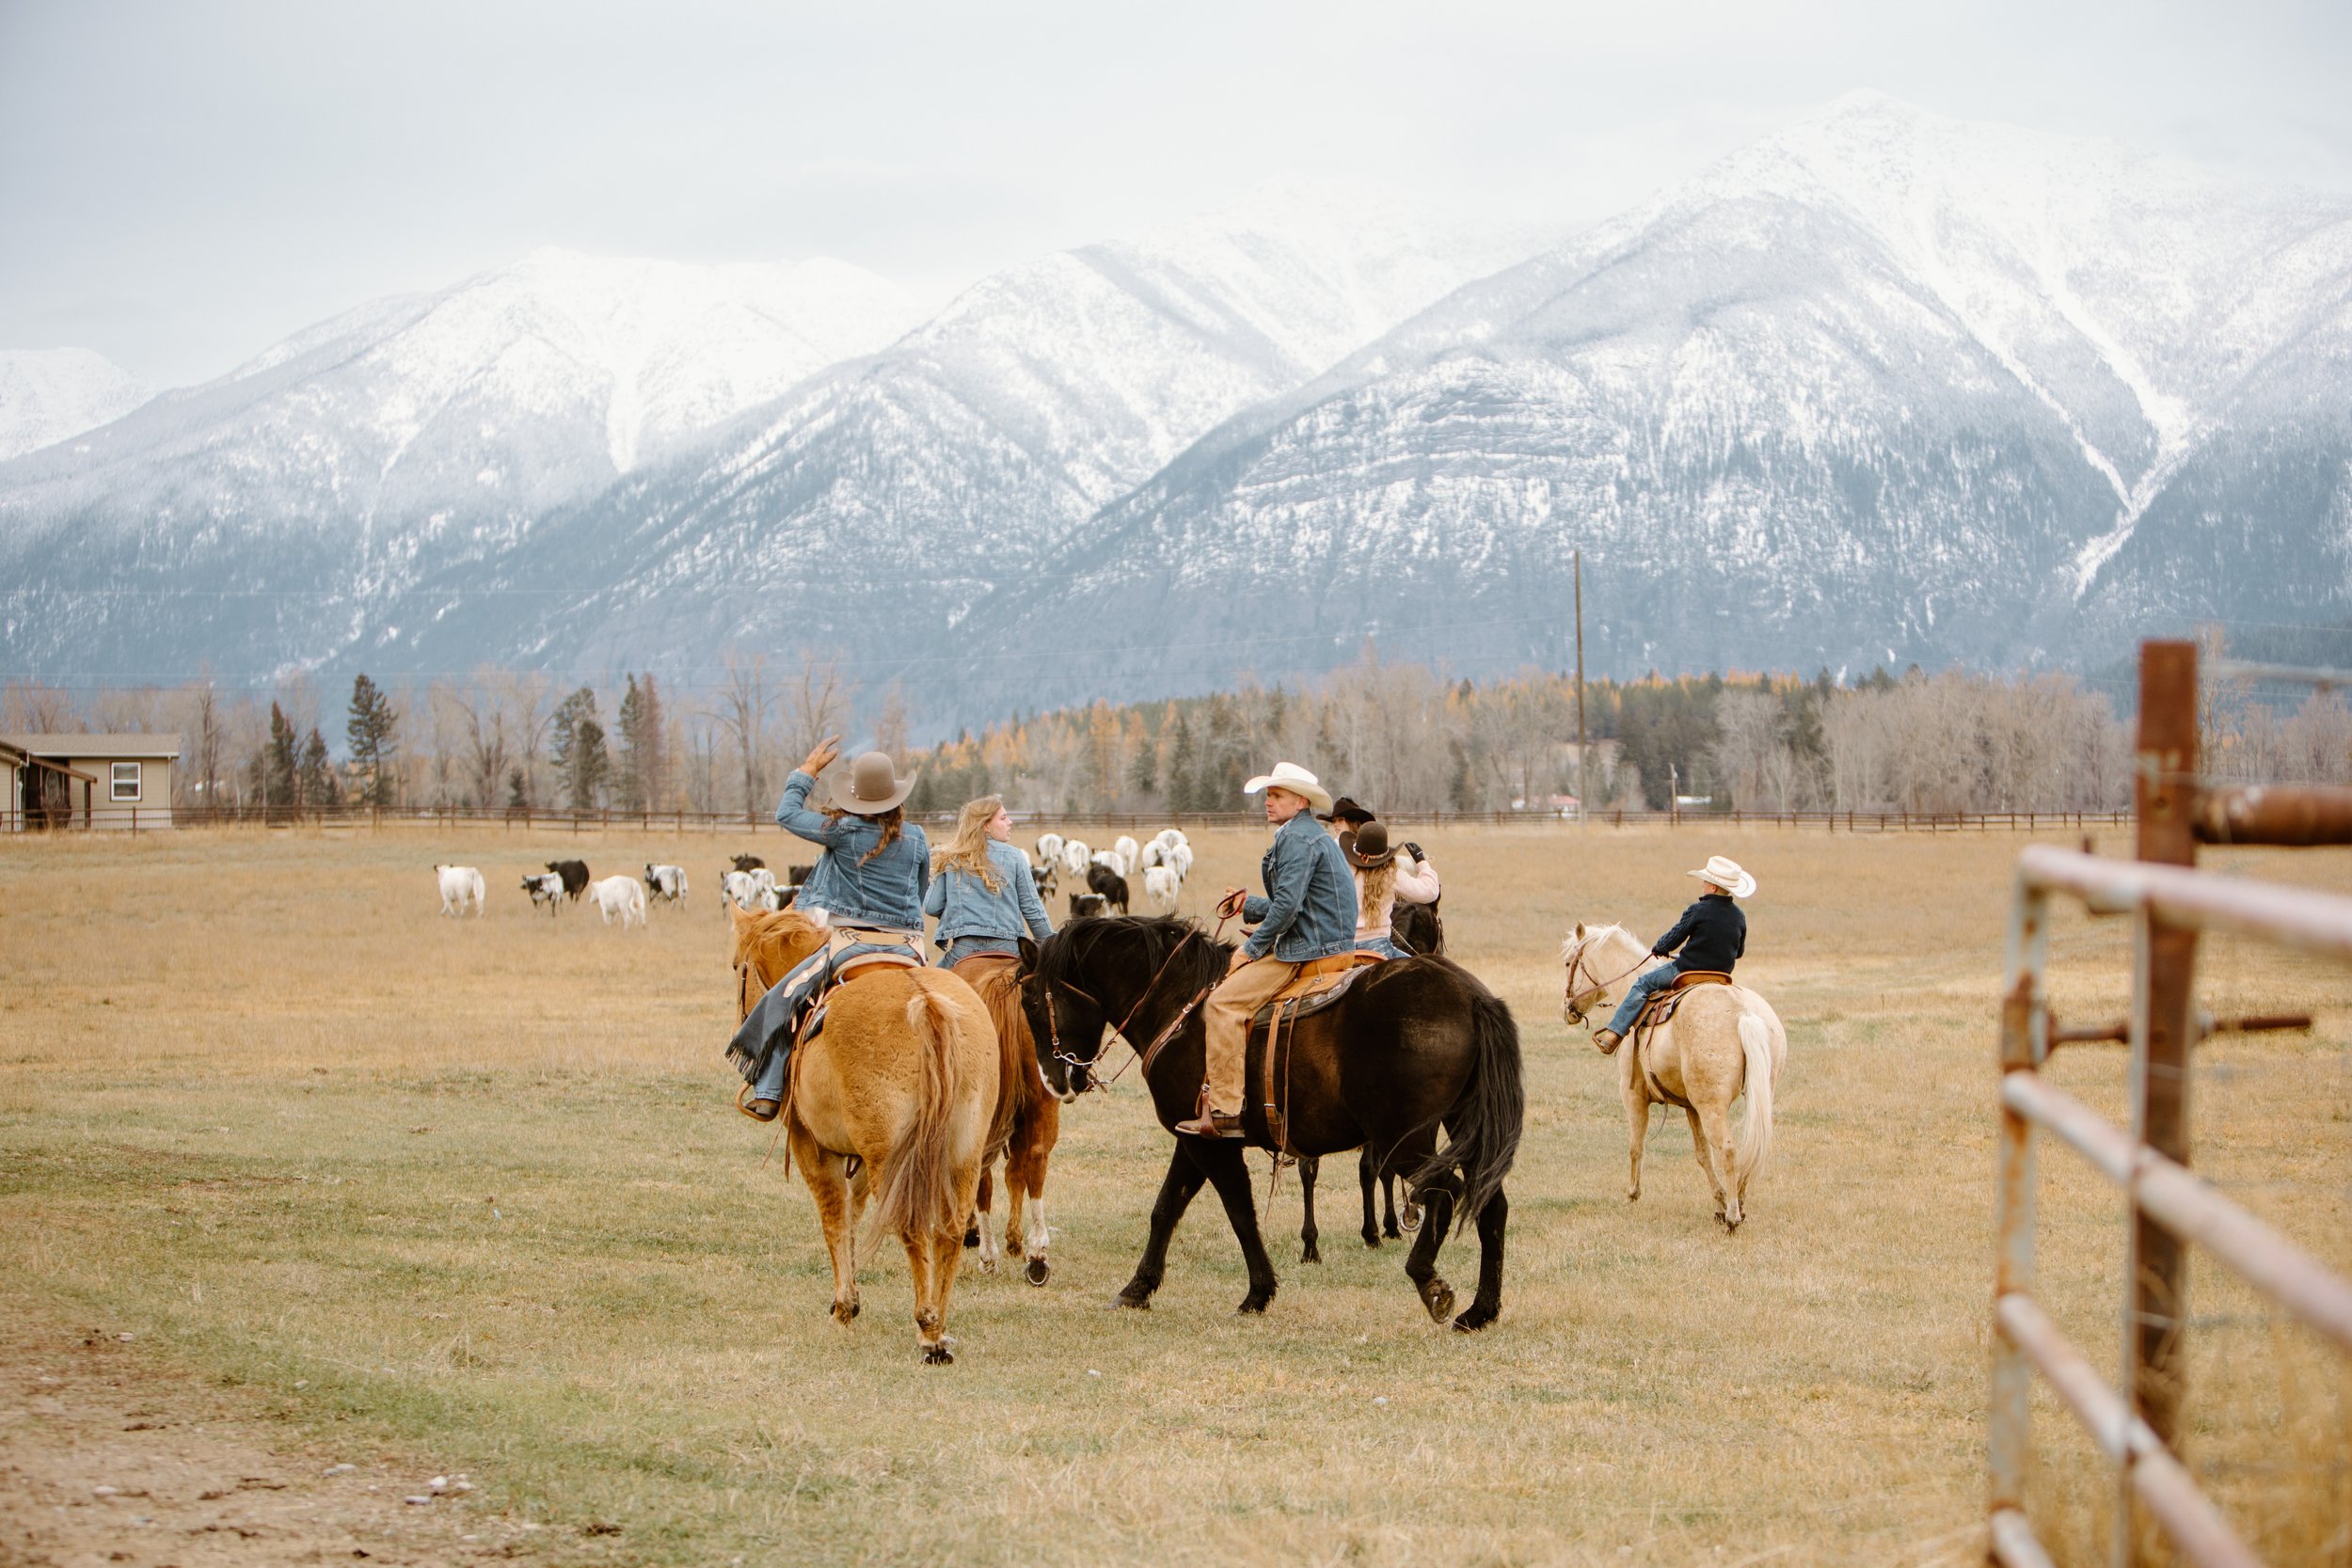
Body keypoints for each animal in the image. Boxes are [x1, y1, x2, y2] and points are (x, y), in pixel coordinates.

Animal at [729, 907, 997, 1363]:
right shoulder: (859, 1159)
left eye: (736, 966)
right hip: (962, 1151)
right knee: (950, 1229)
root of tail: (926, 1003)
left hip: (890, 1159)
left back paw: (927, 1330)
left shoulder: (813, 1148)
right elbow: (853, 1215)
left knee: (912, 1226)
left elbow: (835, 1219)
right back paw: (940, 1327)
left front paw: (843, 1307)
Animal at [1016, 911, 1524, 1335]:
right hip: (1459, 1125)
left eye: (1032, 1003)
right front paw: (1138, 1288)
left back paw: (1429, 1282)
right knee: (1490, 1203)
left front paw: (1257, 1293)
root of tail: (1471, 996)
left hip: (1404, 1139)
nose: (1056, 1081)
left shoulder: (1214, 1146)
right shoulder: (1191, 1138)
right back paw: (1480, 1311)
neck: (1179, 1006)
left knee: (1444, 1193)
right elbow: (1166, 1209)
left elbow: (1239, 1212)